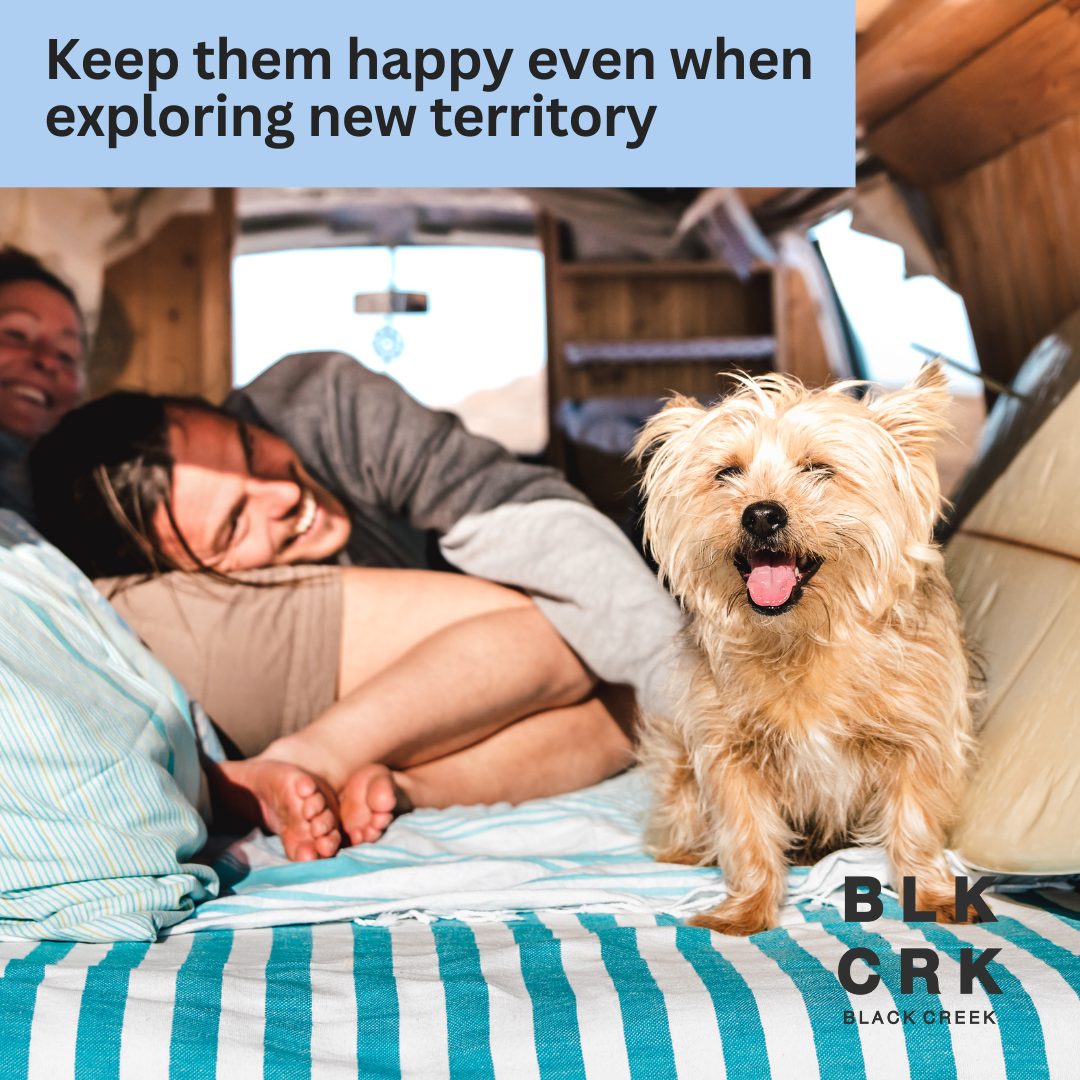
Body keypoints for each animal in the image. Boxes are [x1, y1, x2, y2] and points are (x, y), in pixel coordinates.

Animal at [630, 365, 980, 937]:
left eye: (819, 469)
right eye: (727, 473)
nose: (761, 515)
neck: (802, 637)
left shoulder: (920, 741)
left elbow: (915, 825)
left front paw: (931, 892)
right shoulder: (730, 752)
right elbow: (746, 835)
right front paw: (746, 909)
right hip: (676, 757)